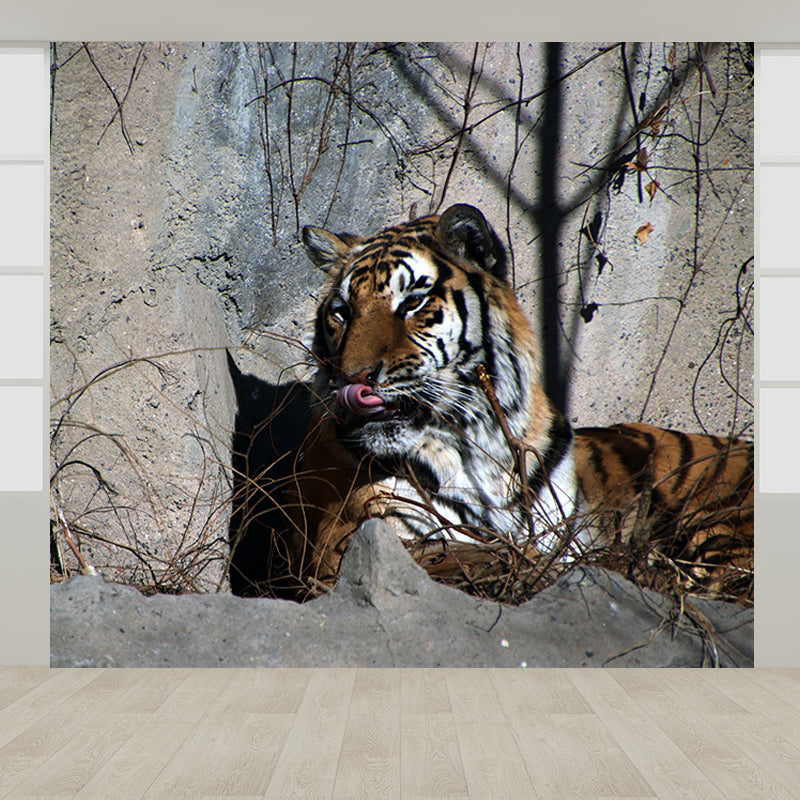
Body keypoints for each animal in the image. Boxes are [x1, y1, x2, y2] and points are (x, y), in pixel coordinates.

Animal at [280, 204, 754, 605]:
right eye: (341, 312)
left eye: (413, 302)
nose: (352, 377)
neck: (476, 437)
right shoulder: (348, 543)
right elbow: (477, 554)